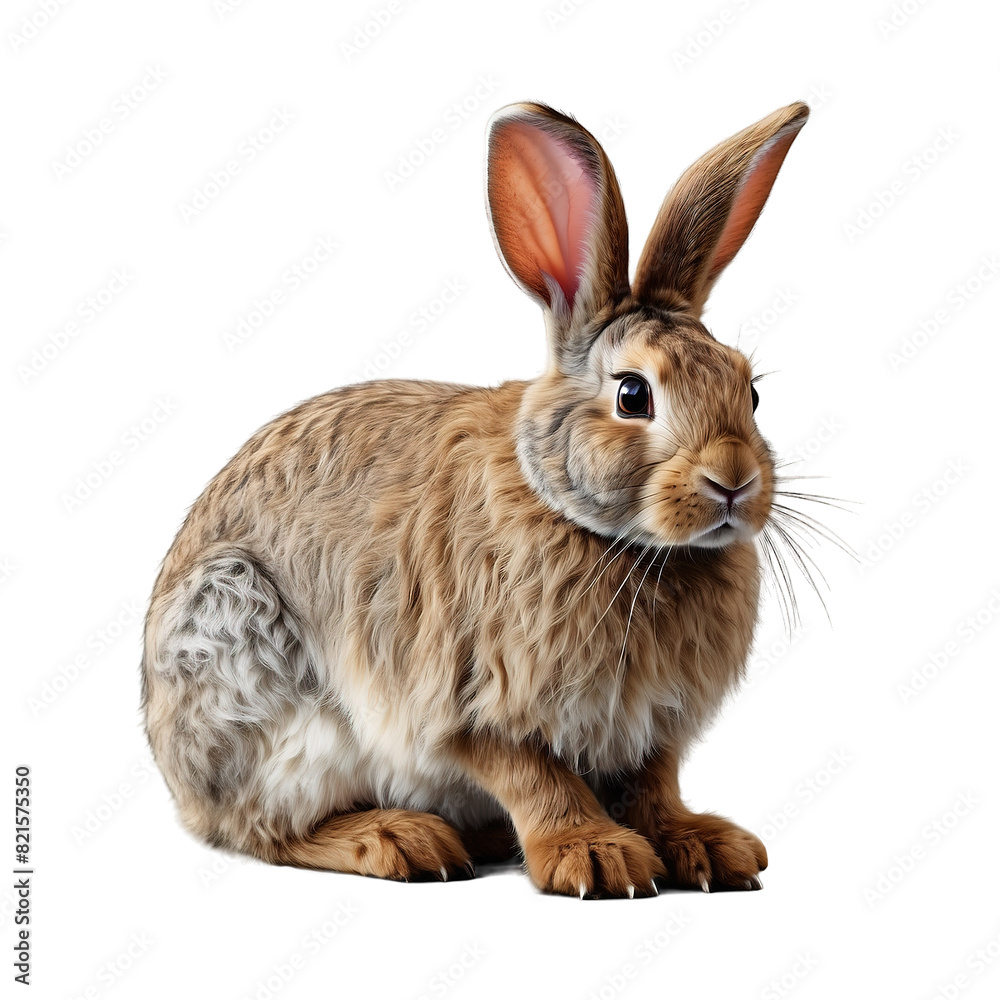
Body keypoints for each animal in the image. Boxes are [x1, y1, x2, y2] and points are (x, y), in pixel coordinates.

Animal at [142, 99, 809, 898]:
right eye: (632, 394)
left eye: (752, 391)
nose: (733, 480)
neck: (606, 533)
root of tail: (173, 769)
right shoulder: (469, 707)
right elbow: (533, 777)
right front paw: (595, 857)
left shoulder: (652, 729)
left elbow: (655, 786)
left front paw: (705, 845)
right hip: (251, 660)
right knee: (268, 829)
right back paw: (402, 840)